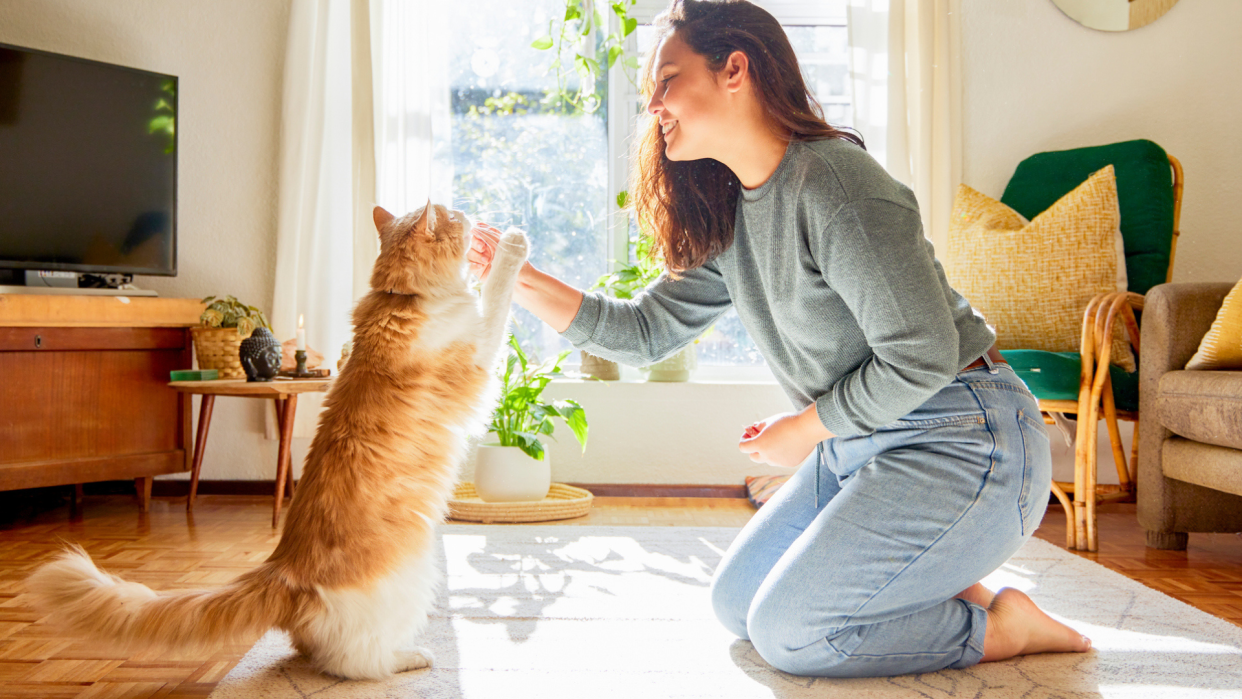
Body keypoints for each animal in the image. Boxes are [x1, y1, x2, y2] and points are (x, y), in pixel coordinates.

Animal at [25, 199, 529, 680]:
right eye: (456, 215)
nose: (473, 216)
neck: (401, 298)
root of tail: (284, 570)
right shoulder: (481, 356)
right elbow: (497, 295)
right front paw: (512, 246)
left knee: (311, 650)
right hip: (417, 576)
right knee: (352, 664)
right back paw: (410, 657)